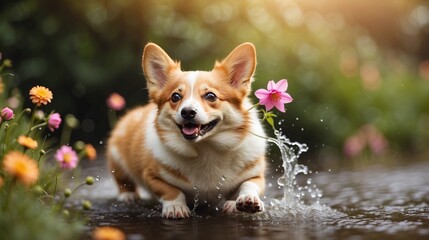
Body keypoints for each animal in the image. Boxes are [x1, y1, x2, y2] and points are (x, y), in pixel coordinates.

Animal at [107, 42, 266, 218]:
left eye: (211, 96)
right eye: (175, 97)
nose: (188, 112)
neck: (206, 149)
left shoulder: (256, 175)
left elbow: (249, 185)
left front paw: (244, 201)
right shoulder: (151, 176)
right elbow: (171, 191)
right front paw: (175, 207)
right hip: (117, 157)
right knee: (123, 181)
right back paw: (128, 195)